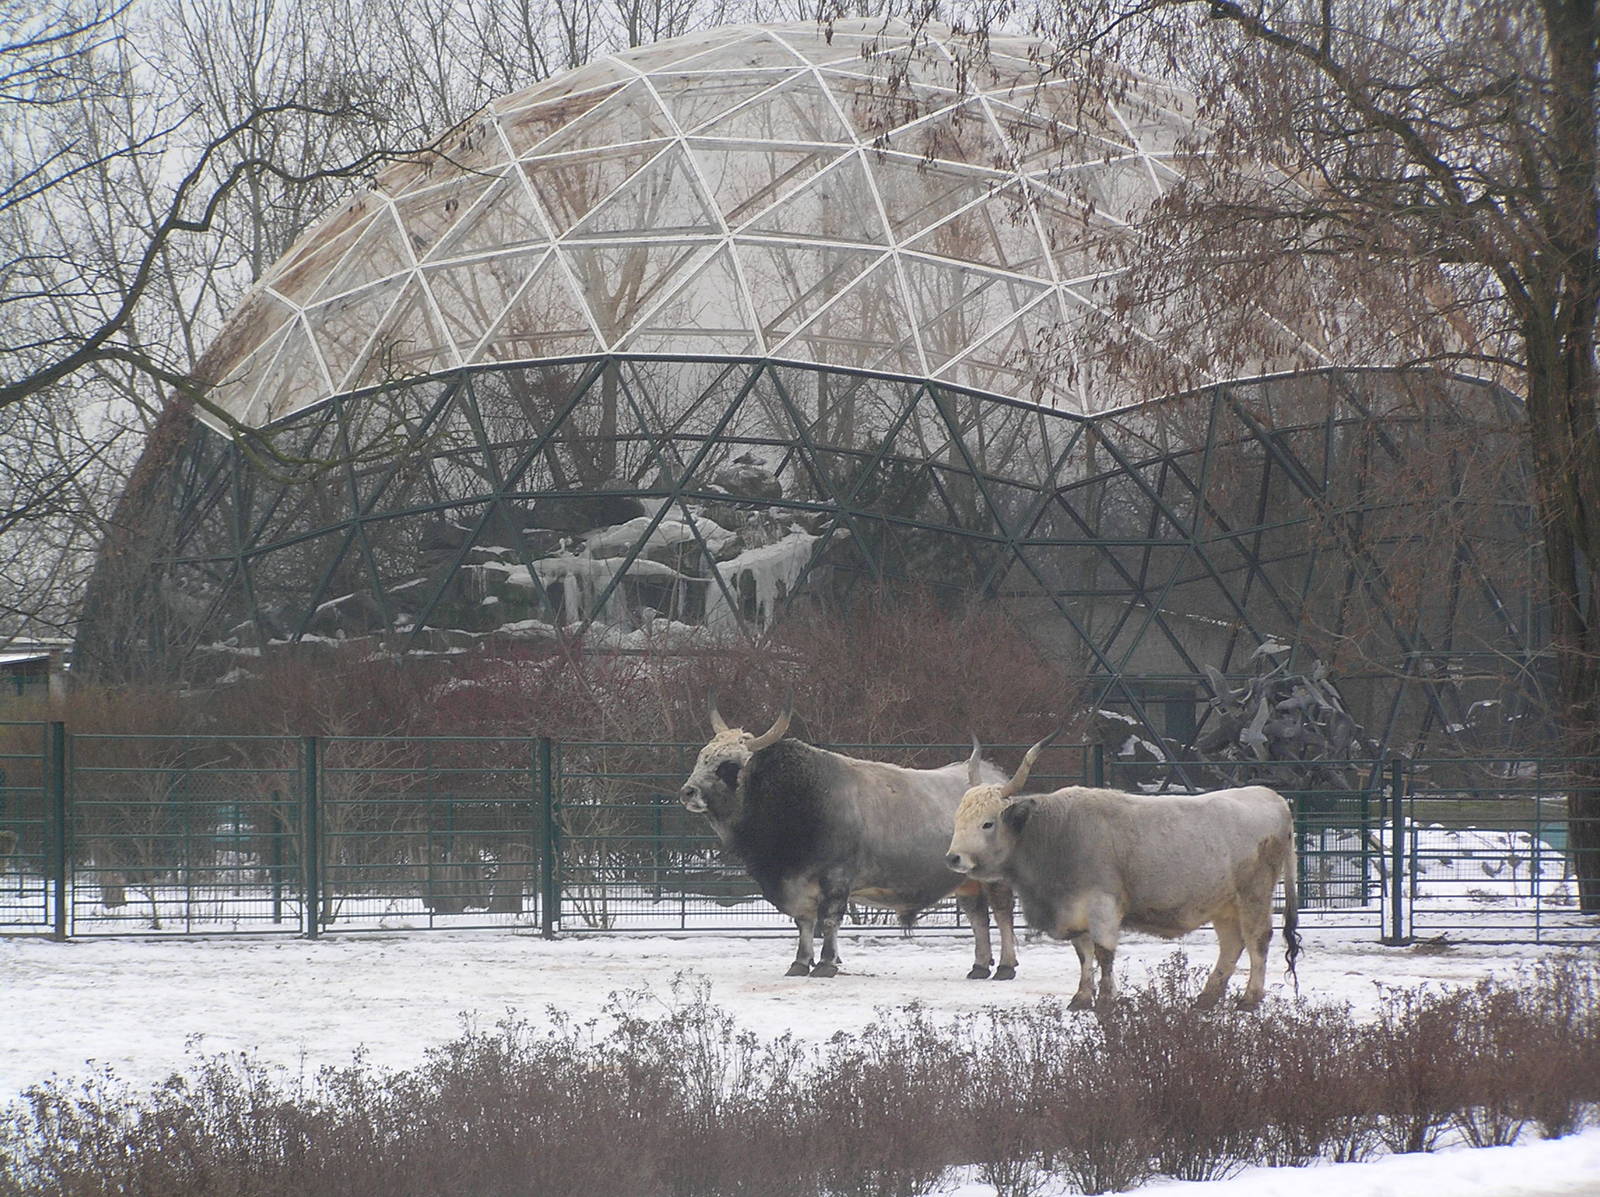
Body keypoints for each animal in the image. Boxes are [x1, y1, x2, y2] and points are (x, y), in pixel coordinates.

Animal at [678, 699, 1020, 979]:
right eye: (702, 757)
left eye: (728, 766)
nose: (687, 792)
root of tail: (996, 783)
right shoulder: (796, 883)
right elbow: (804, 922)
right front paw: (800, 962)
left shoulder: (836, 878)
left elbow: (829, 920)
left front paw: (826, 963)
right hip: (966, 881)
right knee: (977, 917)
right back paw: (979, 966)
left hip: (996, 880)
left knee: (1002, 915)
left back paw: (1005, 966)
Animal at [945, 738, 1300, 1010]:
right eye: (958, 819)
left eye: (987, 823)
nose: (953, 858)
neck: (1057, 833)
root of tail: (1271, 797)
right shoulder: (1076, 911)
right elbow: (1084, 954)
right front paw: (1081, 998)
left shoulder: (1102, 906)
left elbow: (1104, 954)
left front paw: (1105, 1000)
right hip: (1223, 903)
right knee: (1231, 944)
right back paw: (1206, 998)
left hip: (1254, 894)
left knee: (1257, 940)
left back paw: (1250, 999)